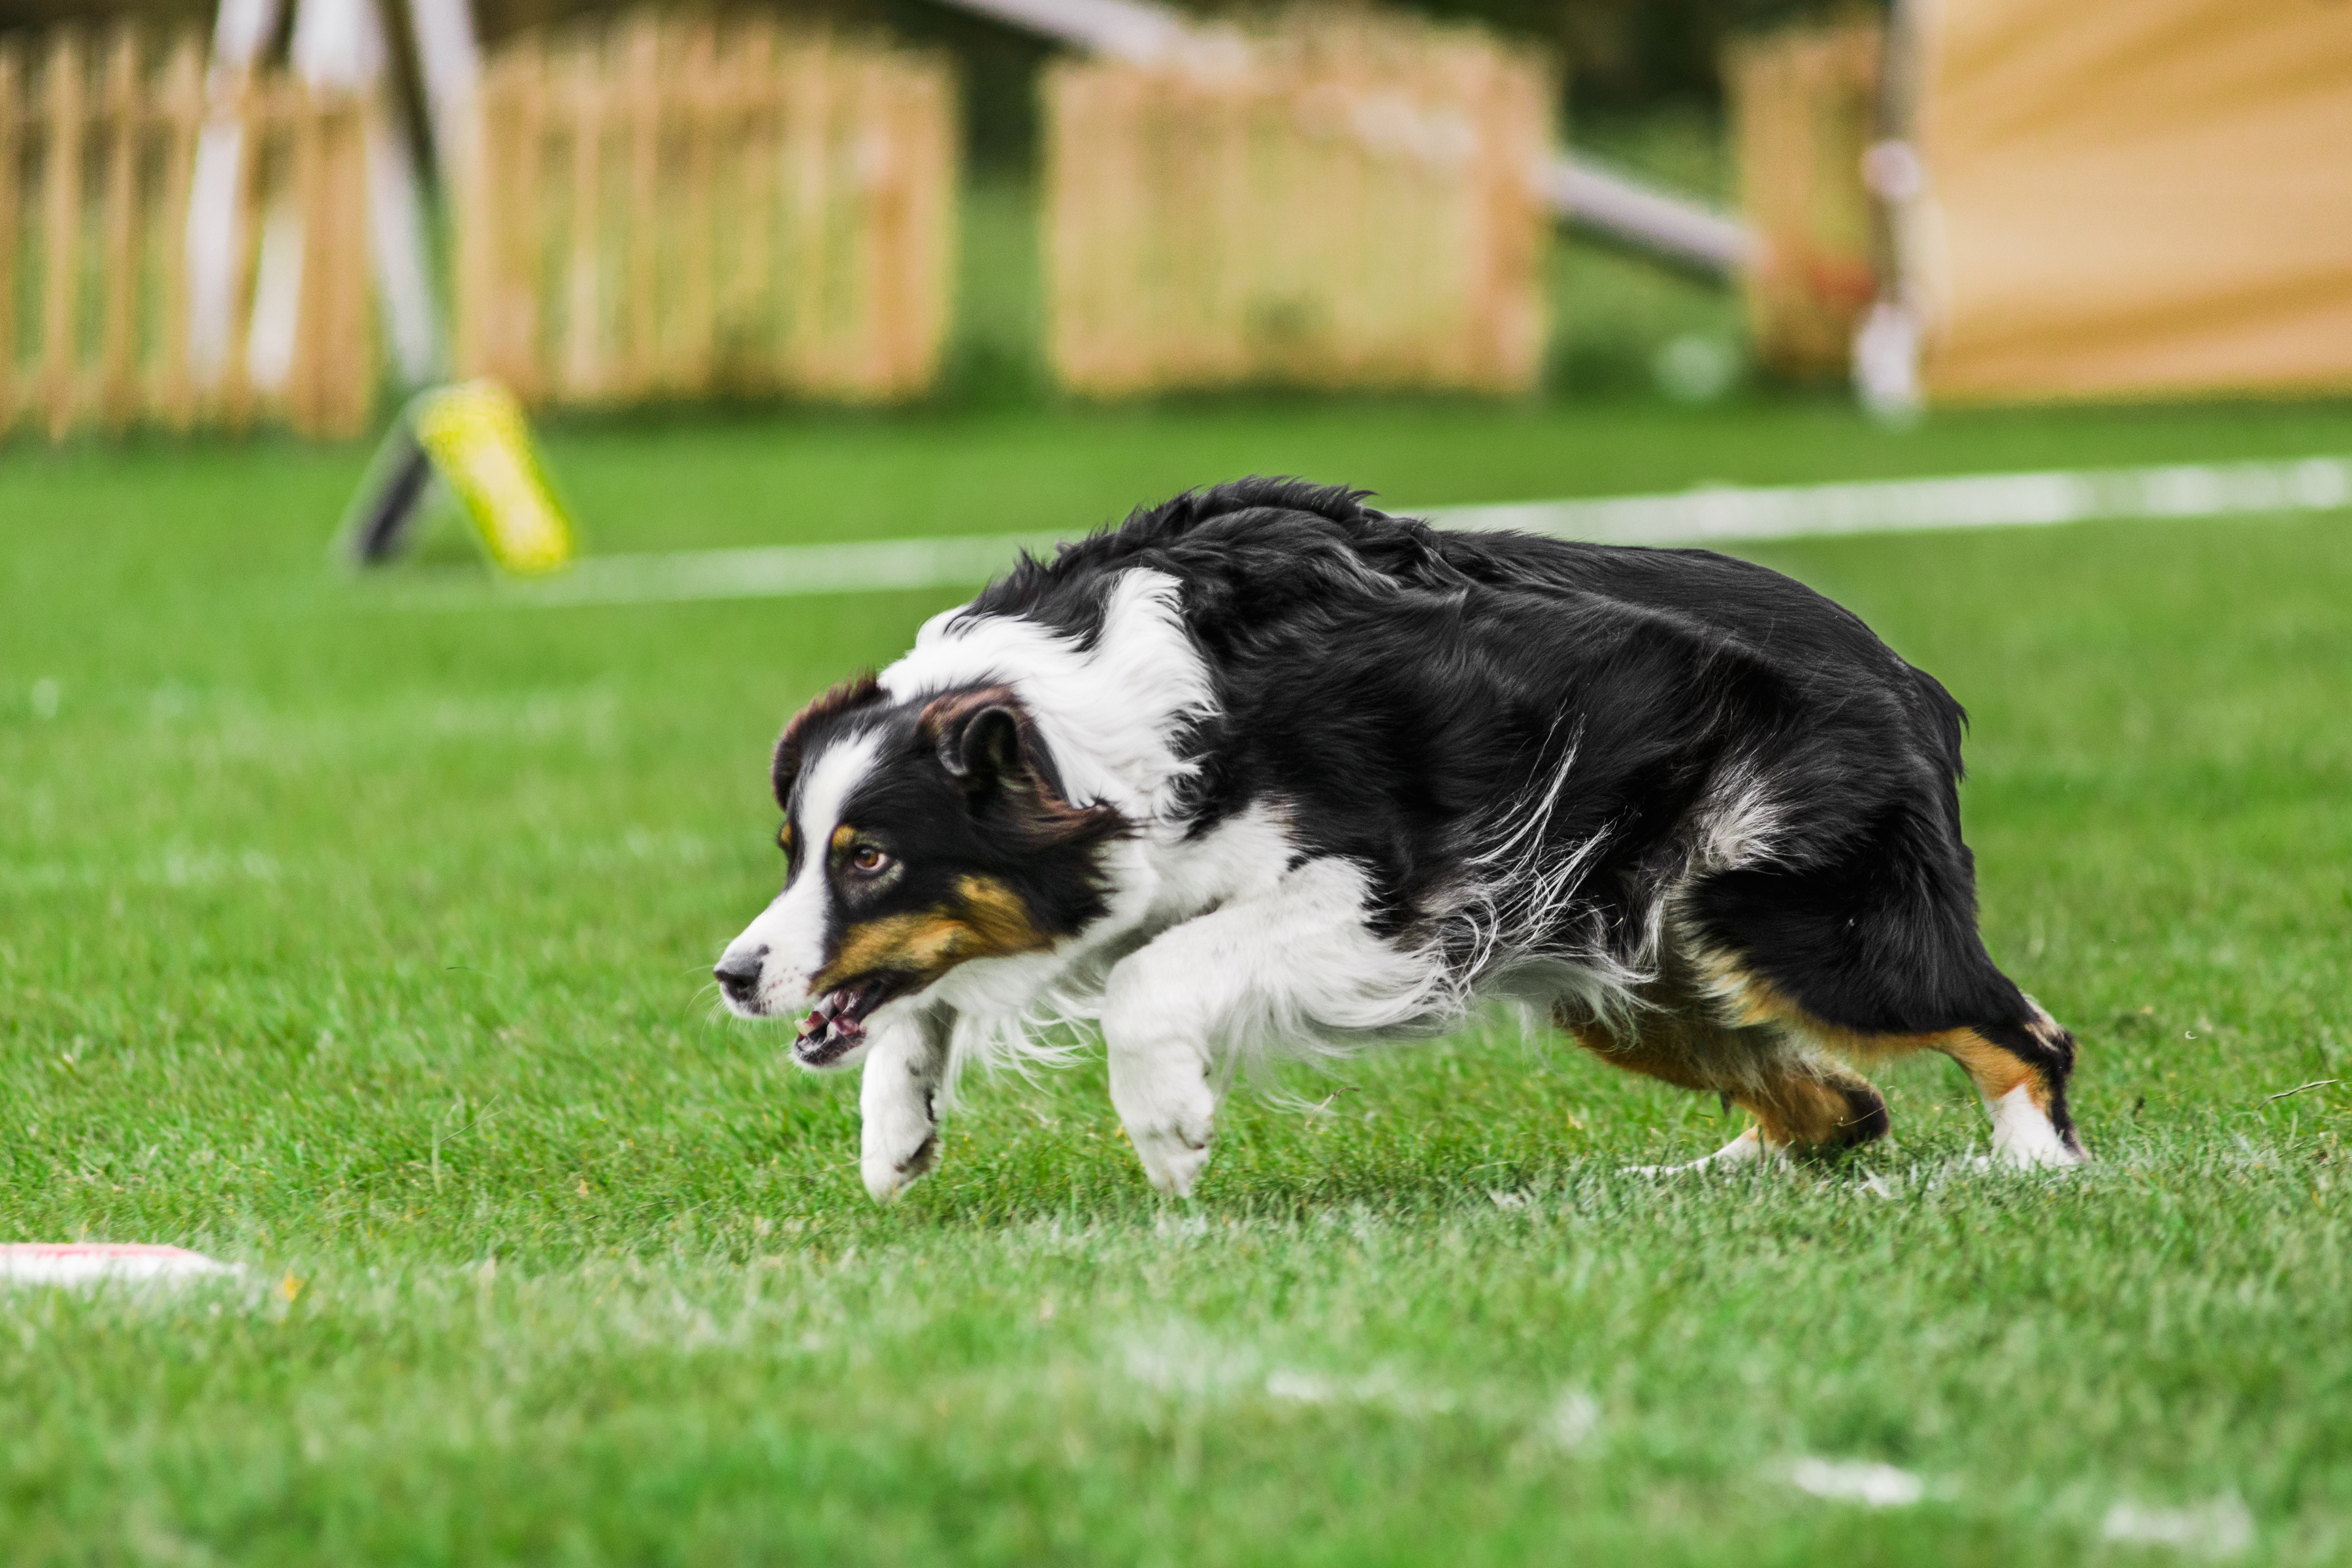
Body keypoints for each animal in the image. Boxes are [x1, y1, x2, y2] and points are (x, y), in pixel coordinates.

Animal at [706, 480, 2088, 1203]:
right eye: (796, 847)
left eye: (870, 857)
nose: (731, 974)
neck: (1081, 720)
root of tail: (1908, 679)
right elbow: (920, 1001)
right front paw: (895, 1136)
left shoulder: (1385, 896)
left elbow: (1150, 978)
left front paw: (1169, 1129)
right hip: (1624, 967)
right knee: (1843, 1104)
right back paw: (1681, 1181)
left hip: (1790, 918)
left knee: (2020, 1032)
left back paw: (2037, 1171)